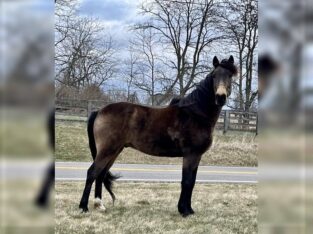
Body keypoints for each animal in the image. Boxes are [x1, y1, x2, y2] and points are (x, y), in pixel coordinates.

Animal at [80, 55, 236, 217]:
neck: (196, 113)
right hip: (107, 150)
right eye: (214, 75)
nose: (220, 97)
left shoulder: (196, 156)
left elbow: (191, 181)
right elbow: (187, 181)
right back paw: (83, 207)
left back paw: (99, 205)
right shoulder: (191, 155)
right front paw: (184, 210)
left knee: (101, 174)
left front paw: (189, 209)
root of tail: (99, 111)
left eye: (230, 75)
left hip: (114, 151)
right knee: (92, 173)